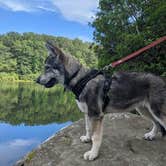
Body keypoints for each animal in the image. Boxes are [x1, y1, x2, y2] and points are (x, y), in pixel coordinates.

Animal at [37, 41, 166, 161]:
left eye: (47, 67)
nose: (36, 80)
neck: (82, 80)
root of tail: (162, 79)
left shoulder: (96, 115)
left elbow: (96, 137)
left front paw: (93, 154)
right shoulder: (88, 113)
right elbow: (88, 128)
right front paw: (87, 138)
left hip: (156, 111)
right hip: (144, 110)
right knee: (156, 123)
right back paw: (151, 135)